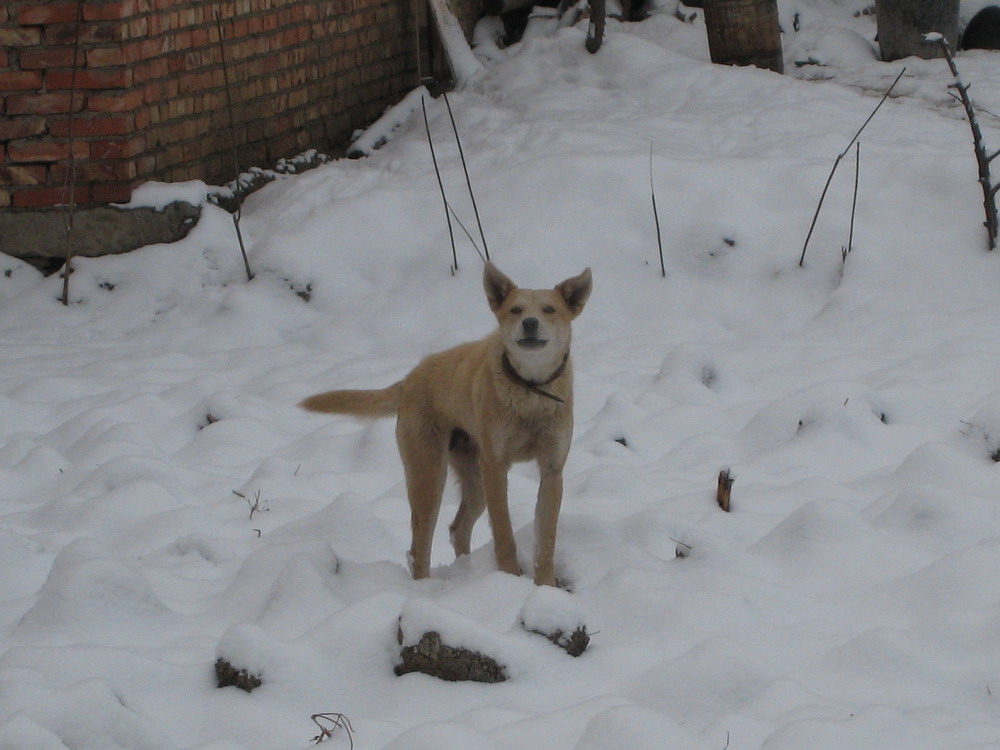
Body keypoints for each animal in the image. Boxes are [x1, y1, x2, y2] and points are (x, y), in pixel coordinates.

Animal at [300, 264, 588, 588]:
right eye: (515, 310)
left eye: (550, 309)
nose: (529, 323)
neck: (530, 391)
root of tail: (410, 378)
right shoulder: (495, 466)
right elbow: (504, 533)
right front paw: (510, 577)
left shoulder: (552, 469)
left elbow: (546, 539)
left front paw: (546, 585)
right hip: (430, 474)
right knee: (419, 546)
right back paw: (425, 586)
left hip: (474, 481)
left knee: (458, 528)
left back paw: (465, 569)